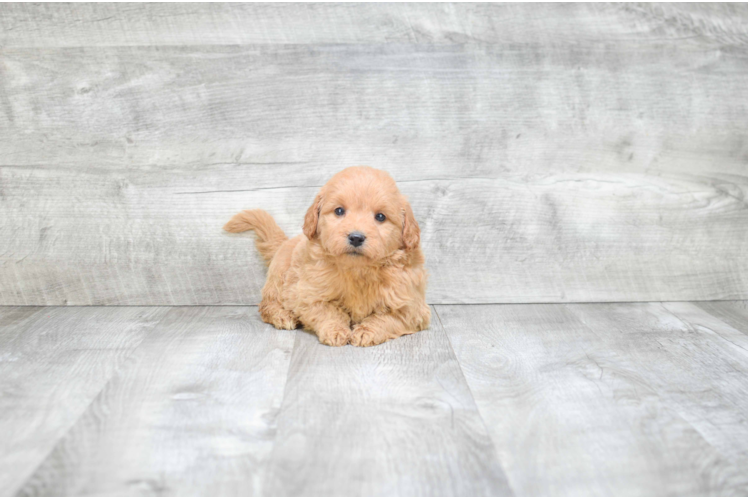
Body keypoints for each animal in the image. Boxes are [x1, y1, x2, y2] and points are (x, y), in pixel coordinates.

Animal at [225, 166, 430, 346]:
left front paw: (366, 332)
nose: (356, 237)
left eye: (380, 217)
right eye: (339, 211)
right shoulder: (308, 294)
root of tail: (285, 242)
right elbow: (328, 311)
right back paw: (283, 316)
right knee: (267, 304)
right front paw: (336, 331)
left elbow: (386, 318)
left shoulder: (412, 308)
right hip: (278, 277)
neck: (358, 270)